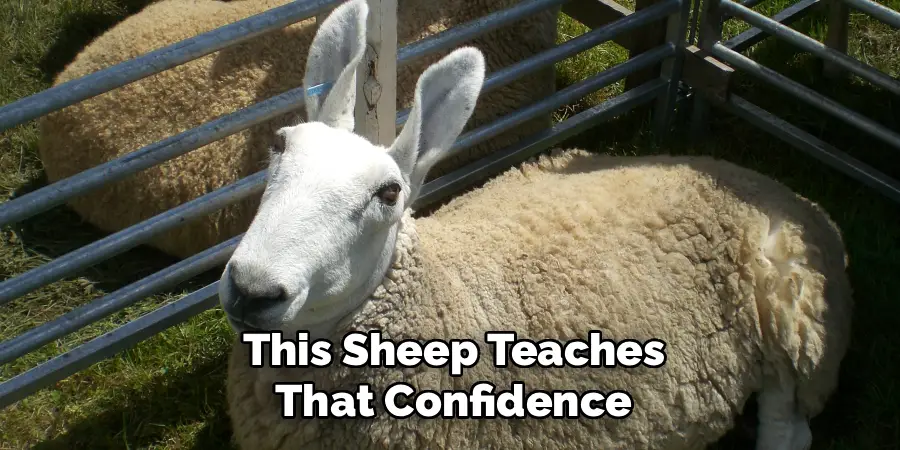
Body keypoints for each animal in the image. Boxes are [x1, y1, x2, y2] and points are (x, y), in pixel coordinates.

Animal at [218, 2, 853, 449]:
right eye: (279, 145)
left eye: (389, 193)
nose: (252, 289)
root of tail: (775, 188)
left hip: (795, 326)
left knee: (788, 423)